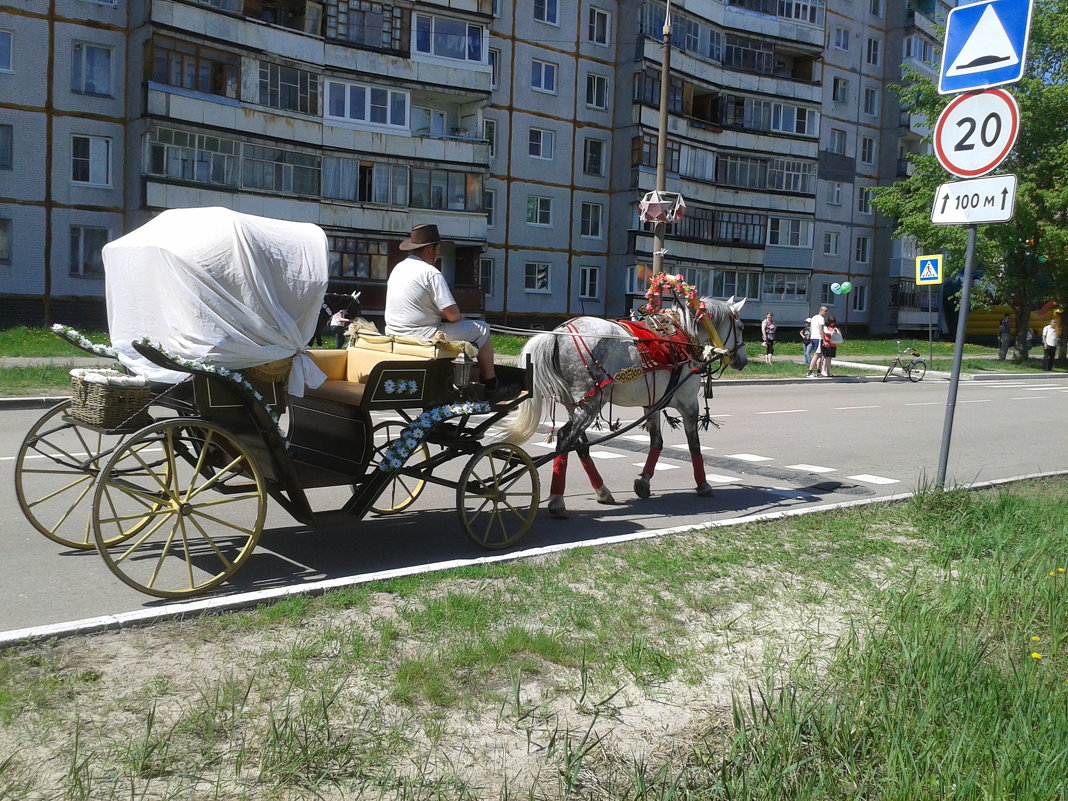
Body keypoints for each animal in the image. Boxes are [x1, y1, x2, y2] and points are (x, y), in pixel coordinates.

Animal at [501, 299, 747, 516]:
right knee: (564, 439)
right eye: (741, 327)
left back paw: (602, 491)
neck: (684, 336)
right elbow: (694, 445)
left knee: (579, 445)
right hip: (590, 405)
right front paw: (703, 484)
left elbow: (657, 443)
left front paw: (644, 482)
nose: (743, 360)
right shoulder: (689, 404)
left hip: (576, 406)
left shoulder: (652, 404)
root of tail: (559, 333)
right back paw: (557, 500)